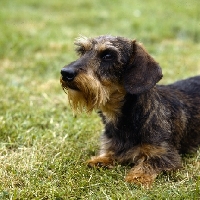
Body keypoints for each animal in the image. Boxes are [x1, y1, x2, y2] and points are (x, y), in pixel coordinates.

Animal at [60, 35, 200, 186]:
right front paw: (99, 160)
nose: (65, 72)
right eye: (82, 51)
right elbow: (110, 153)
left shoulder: (165, 154)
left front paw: (137, 176)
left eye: (108, 55)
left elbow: (150, 162)